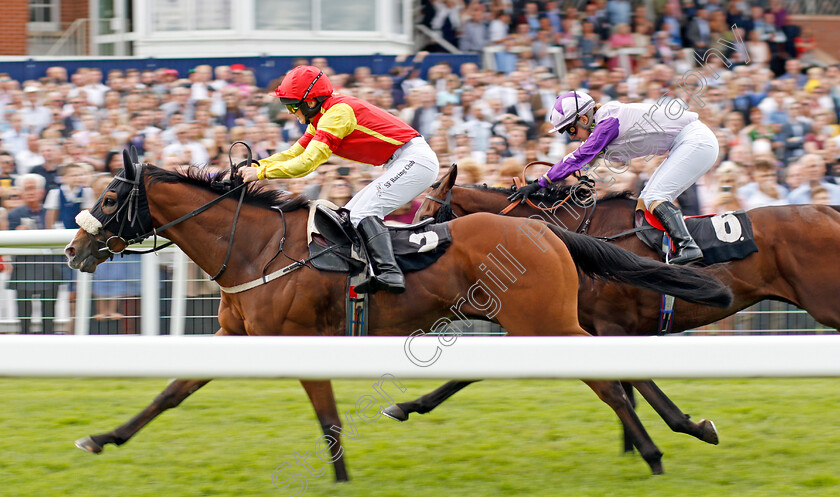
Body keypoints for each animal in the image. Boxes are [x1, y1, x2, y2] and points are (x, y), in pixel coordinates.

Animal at [62, 154, 732, 476]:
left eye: (111, 196)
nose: (74, 250)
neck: (254, 247)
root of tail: (545, 231)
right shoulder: (236, 335)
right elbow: (172, 391)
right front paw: (103, 437)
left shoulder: (299, 338)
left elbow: (327, 416)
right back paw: (683, 430)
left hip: (543, 321)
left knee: (609, 382)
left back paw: (653, 452)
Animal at [392, 165, 840, 452]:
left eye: (428, 214)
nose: (407, 258)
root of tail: (827, 209)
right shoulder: (573, 325)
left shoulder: (603, 326)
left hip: (827, 303)